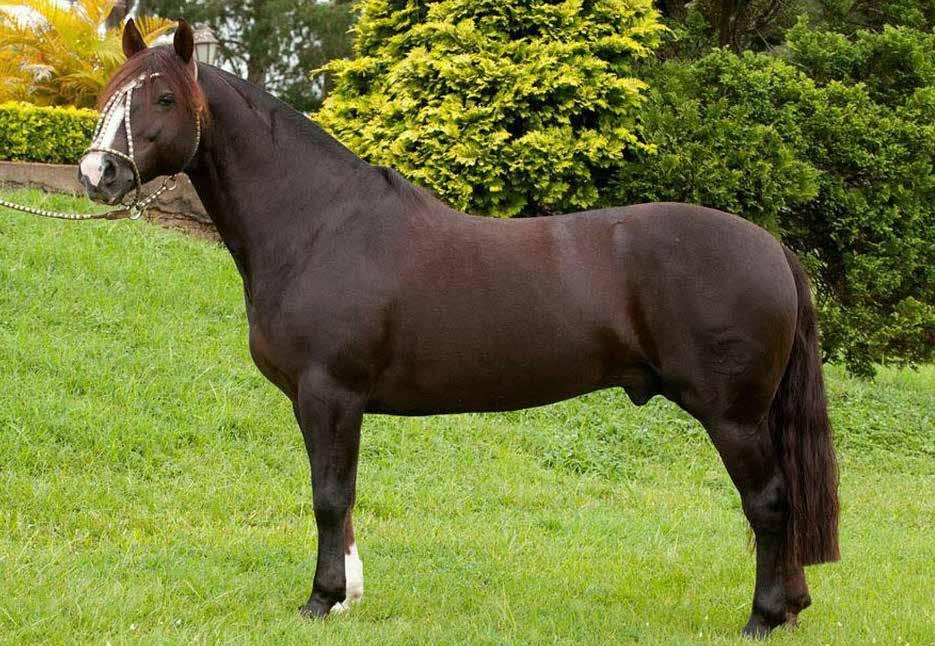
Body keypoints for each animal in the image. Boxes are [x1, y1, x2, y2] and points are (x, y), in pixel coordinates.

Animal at [78, 21, 840, 644]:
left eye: (163, 99)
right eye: (111, 94)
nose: (97, 173)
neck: (318, 225)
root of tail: (772, 248)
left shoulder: (328, 394)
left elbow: (328, 497)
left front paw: (321, 601)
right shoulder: (327, 403)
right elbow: (342, 501)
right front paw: (348, 597)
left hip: (733, 416)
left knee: (769, 504)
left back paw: (763, 618)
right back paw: (792, 606)